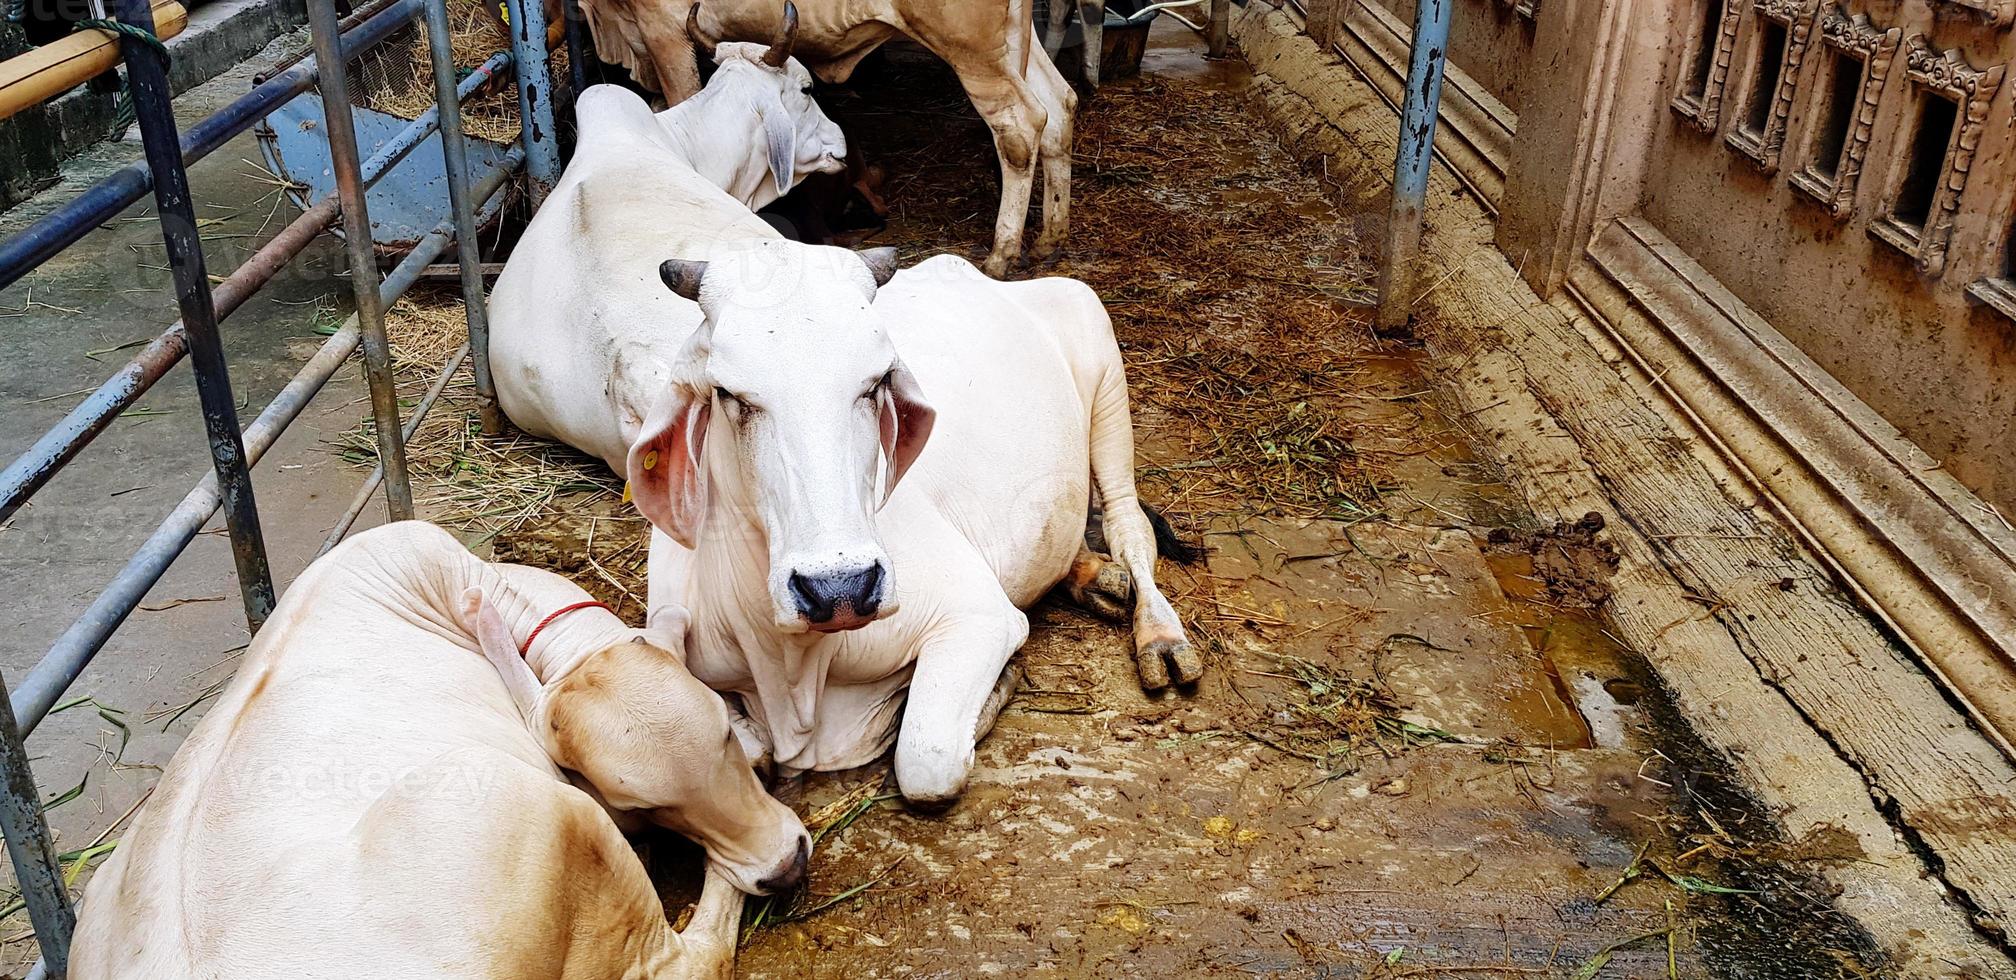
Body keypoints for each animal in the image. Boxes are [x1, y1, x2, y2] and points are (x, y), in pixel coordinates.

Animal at [489, 84, 1193, 806]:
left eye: (877, 381)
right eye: (731, 394)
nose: (840, 588)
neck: (794, 670)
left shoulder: (978, 618)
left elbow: (926, 759)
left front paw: (993, 684)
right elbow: (748, 747)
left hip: (1100, 358)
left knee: (1130, 527)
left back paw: (1158, 634)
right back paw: (1090, 575)